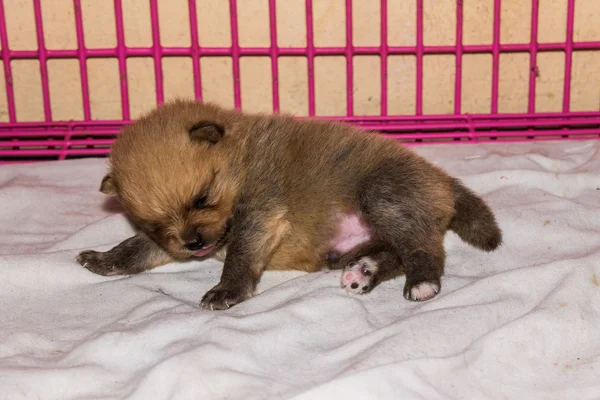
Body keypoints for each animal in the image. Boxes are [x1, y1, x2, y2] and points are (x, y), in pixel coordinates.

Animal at [76, 99, 502, 310]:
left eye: (202, 197)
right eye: (153, 222)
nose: (194, 244)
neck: (242, 160)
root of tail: (442, 181)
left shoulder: (258, 213)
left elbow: (239, 257)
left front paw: (227, 290)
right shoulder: (174, 241)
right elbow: (137, 249)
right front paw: (104, 259)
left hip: (383, 193)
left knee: (422, 247)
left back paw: (422, 282)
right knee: (395, 250)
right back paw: (364, 272)